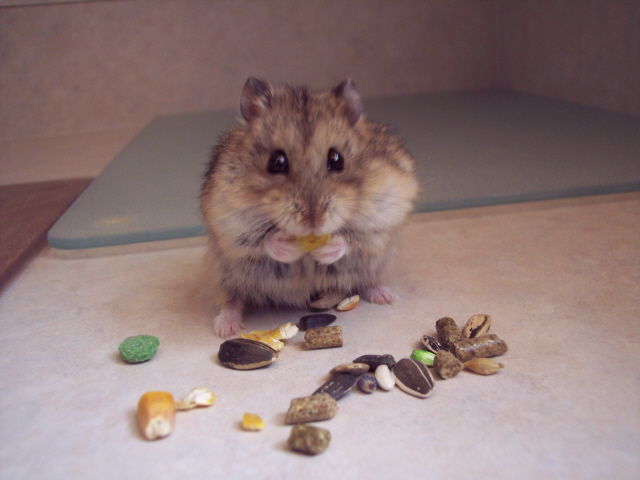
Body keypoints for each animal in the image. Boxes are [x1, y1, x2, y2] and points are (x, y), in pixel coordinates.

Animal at [201, 77, 418, 337]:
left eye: (337, 159)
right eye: (276, 161)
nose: (313, 222)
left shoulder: (384, 216)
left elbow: (354, 238)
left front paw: (326, 250)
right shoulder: (229, 223)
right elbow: (261, 241)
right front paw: (289, 247)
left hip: (380, 263)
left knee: (366, 282)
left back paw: (387, 297)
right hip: (224, 272)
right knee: (231, 299)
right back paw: (226, 329)